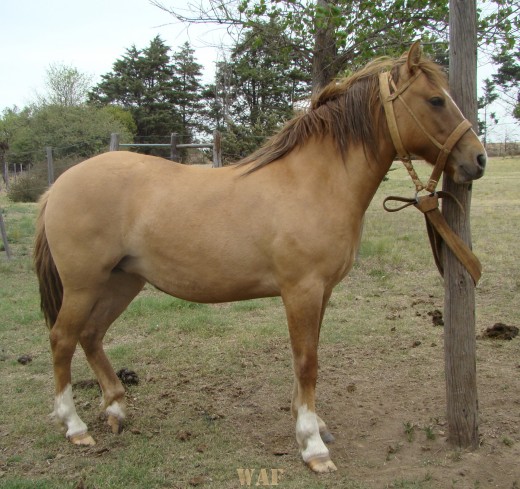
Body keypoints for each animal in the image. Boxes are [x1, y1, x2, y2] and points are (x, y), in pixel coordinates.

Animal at [33, 43, 488, 472]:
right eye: (436, 100)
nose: (478, 159)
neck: (313, 182)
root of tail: (59, 185)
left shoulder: (320, 292)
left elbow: (308, 355)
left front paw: (313, 423)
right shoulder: (301, 290)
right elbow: (306, 361)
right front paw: (312, 446)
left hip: (122, 280)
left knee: (91, 335)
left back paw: (115, 408)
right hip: (84, 284)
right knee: (62, 339)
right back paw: (74, 427)